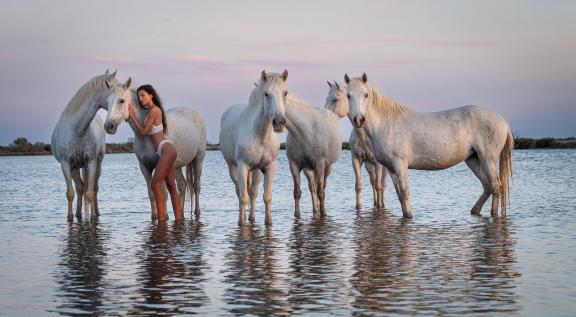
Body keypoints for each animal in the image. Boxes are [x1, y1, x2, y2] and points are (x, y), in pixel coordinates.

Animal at [51, 69, 118, 220]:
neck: (77, 130)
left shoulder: (91, 161)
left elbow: (90, 192)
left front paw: (93, 217)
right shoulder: (65, 163)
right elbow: (71, 193)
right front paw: (70, 217)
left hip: (97, 163)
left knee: (93, 188)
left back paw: (96, 212)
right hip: (75, 167)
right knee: (80, 188)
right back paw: (78, 214)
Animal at [104, 78, 207, 218]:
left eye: (121, 100)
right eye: (107, 101)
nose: (108, 126)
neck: (144, 137)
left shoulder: (160, 164)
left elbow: (163, 194)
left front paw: (166, 217)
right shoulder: (144, 167)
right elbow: (151, 193)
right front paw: (155, 216)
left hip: (198, 159)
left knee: (196, 186)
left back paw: (197, 211)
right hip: (176, 166)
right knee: (182, 185)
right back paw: (180, 212)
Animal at [219, 69, 288, 225]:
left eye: (285, 92)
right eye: (266, 94)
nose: (279, 122)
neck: (261, 135)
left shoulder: (269, 167)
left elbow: (266, 196)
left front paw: (268, 222)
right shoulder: (242, 166)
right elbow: (243, 197)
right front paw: (241, 223)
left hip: (256, 170)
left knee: (253, 192)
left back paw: (252, 217)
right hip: (233, 168)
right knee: (239, 192)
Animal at [284, 80, 348, 216]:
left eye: (336, 99)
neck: (302, 132)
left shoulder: (320, 163)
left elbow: (321, 192)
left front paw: (323, 214)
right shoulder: (294, 164)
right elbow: (297, 192)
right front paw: (297, 215)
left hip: (326, 167)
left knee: (322, 186)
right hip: (308, 169)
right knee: (312, 187)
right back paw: (315, 210)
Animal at [346, 73, 512, 217]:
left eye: (366, 94)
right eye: (348, 95)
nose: (359, 120)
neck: (386, 123)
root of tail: (503, 121)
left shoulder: (400, 164)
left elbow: (405, 192)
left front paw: (409, 217)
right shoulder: (391, 168)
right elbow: (399, 194)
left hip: (487, 159)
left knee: (496, 186)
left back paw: (493, 214)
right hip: (473, 159)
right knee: (488, 185)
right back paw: (475, 211)